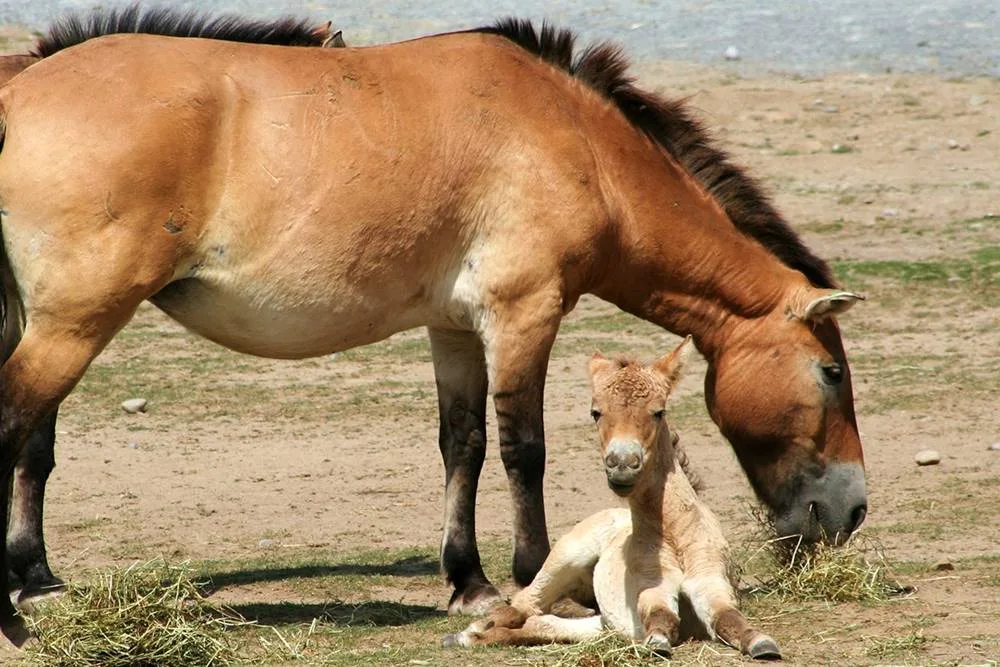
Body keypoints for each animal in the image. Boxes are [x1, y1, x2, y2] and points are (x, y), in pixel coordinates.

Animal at [444, 337, 781, 660]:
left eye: (658, 411)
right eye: (596, 413)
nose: (621, 465)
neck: (676, 537)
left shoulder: (711, 582)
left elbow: (728, 618)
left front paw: (761, 643)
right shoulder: (652, 587)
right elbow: (662, 616)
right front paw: (658, 643)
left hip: (602, 620)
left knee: (543, 623)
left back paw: (475, 636)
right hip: (565, 558)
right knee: (522, 604)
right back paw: (470, 631)